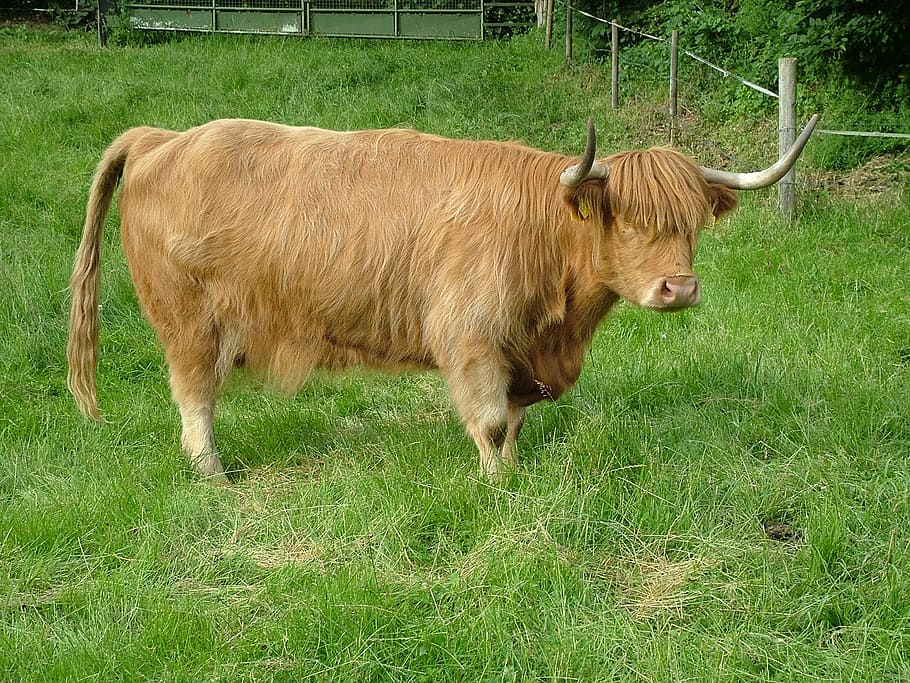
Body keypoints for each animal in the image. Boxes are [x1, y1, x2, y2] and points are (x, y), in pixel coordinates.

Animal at [67, 115, 818, 482]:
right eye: (628, 219)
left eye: (691, 224)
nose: (679, 287)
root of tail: (163, 138)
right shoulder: (474, 338)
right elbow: (487, 421)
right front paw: (497, 489)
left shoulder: (519, 352)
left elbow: (514, 422)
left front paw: (513, 474)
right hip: (190, 322)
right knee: (195, 398)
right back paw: (215, 476)